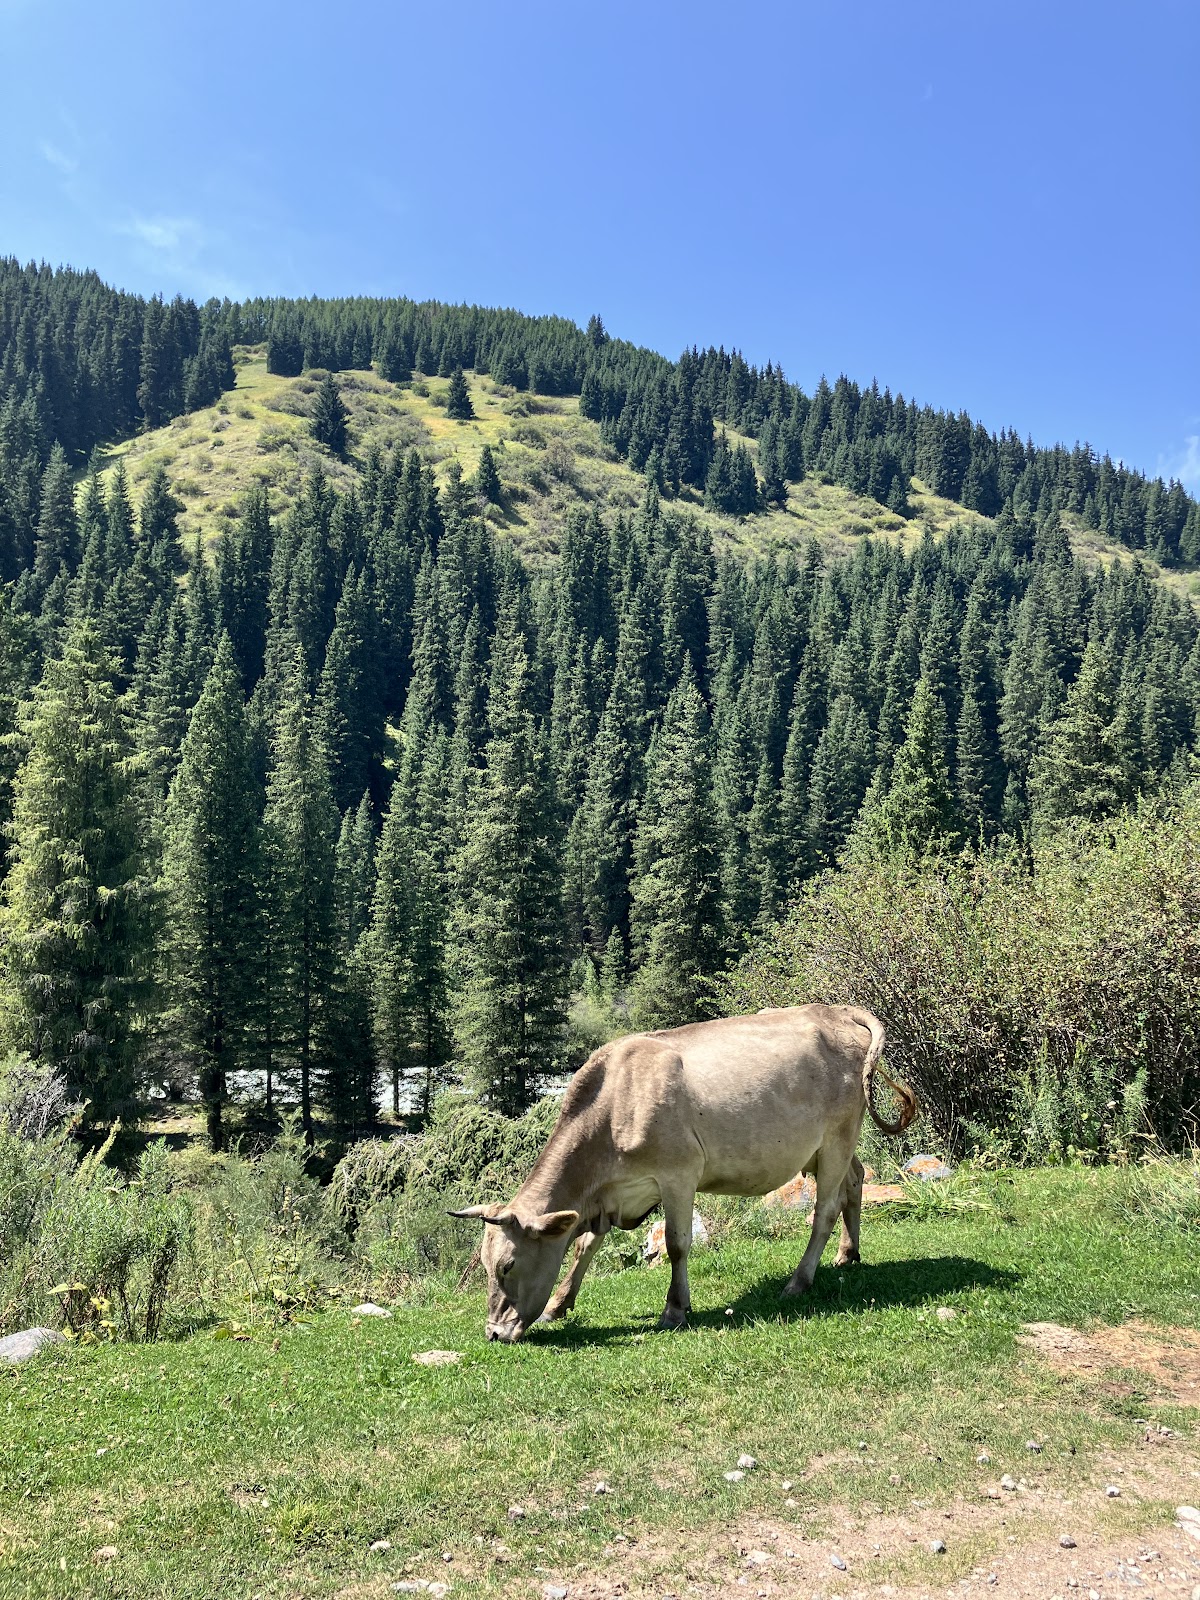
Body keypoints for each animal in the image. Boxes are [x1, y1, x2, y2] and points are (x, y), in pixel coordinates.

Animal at [454, 1004, 921, 1344]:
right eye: (486, 1263)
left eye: (508, 1266)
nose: (494, 1333)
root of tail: (836, 1010)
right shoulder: (610, 1196)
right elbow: (585, 1245)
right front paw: (558, 1304)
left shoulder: (677, 1176)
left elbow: (678, 1245)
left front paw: (675, 1309)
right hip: (827, 1148)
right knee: (854, 1181)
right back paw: (848, 1254)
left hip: (839, 1135)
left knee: (824, 1211)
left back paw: (799, 1281)